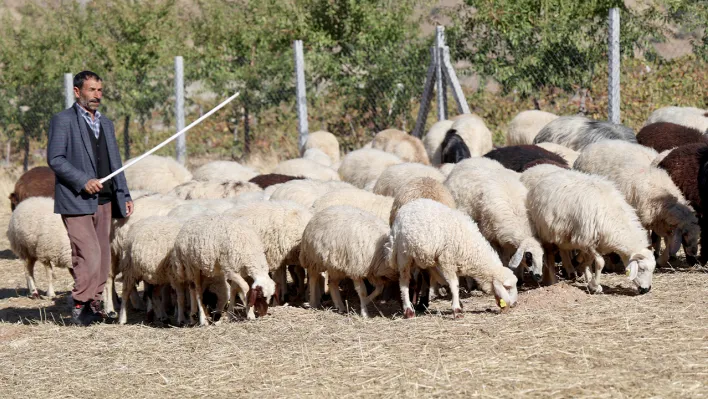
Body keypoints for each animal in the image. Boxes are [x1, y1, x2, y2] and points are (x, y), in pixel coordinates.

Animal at [388, 200, 520, 318]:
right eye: (507, 287)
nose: (514, 304)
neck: (471, 247)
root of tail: (404, 209)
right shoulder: (447, 260)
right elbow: (454, 284)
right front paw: (457, 310)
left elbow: (449, 283)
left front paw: (457, 304)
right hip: (404, 255)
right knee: (404, 282)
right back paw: (408, 310)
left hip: (425, 257)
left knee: (425, 276)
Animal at [528, 167, 656, 296]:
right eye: (641, 269)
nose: (646, 289)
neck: (613, 216)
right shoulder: (587, 241)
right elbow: (600, 262)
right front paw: (595, 285)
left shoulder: (594, 243)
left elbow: (588, 260)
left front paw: (589, 280)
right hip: (544, 232)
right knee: (549, 256)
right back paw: (552, 281)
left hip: (561, 233)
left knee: (563, 249)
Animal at [576, 139, 704, 268]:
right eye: (685, 234)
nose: (694, 253)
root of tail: (593, 145)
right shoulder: (642, 220)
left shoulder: (662, 224)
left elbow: (667, 243)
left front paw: (661, 260)